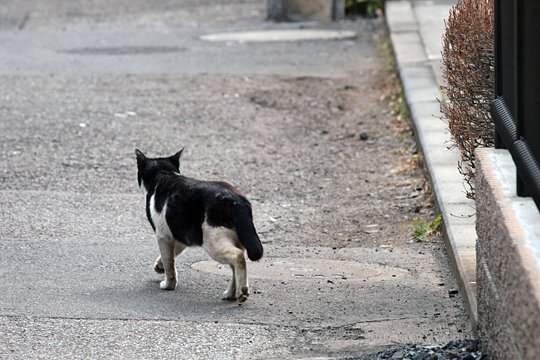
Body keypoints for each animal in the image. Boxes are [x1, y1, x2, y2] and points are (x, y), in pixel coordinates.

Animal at [134, 148, 262, 302]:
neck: (164, 174)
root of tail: (235, 200)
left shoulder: (163, 236)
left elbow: (169, 263)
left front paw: (169, 284)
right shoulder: (179, 235)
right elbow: (171, 256)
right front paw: (159, 266)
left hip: (213, 241)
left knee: (237, 257)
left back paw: (242, 292)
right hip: (234, 239)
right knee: (234, 267)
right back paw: (231, 294)